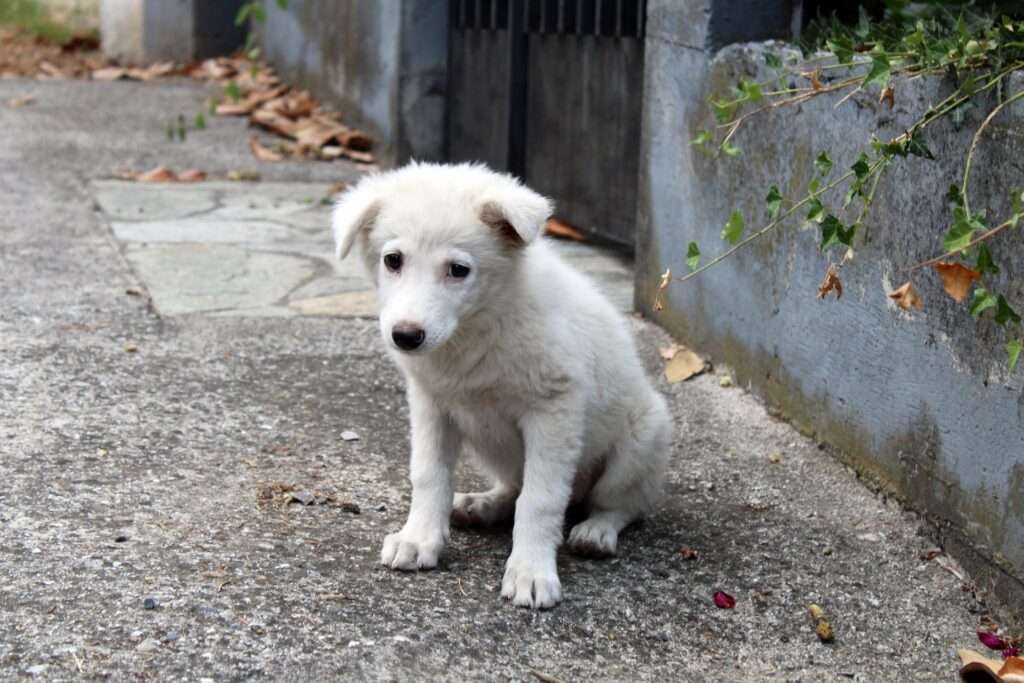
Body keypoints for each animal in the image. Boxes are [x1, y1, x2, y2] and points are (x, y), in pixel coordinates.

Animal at [333, 161, 671, 610]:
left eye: (459, 270)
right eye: (393, 260)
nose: (406, 336)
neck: (478, 325)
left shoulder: (554, 410)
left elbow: (540, 499)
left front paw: (530, 571)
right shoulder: (432, 404)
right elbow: (429, 474)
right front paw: (419, 538)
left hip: (643, 438)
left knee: (623, 504)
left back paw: (596, 530)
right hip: (495, 448)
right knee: (513, 487)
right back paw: (482, 505)